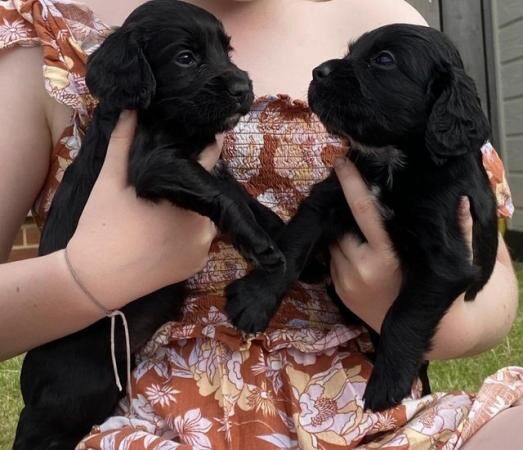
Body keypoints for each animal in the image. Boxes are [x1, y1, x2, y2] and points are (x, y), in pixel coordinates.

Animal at [15, 1, 286, 448]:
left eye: (227, 50)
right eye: (185, 58)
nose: (242, 88)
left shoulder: (205, 164)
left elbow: (243, 195)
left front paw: (283, 232)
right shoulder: (153, 163)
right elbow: (225, 194)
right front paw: (260, 244)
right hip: (72, 394)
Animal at [226, 23, 500, 412]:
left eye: (384, 60)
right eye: (351, 52)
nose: (318, 72)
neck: (392, 163)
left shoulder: (443, 260)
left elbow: (402, 315)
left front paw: (387, 383)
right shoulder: (327, 200)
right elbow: (291, 248)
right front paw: (254, 300)